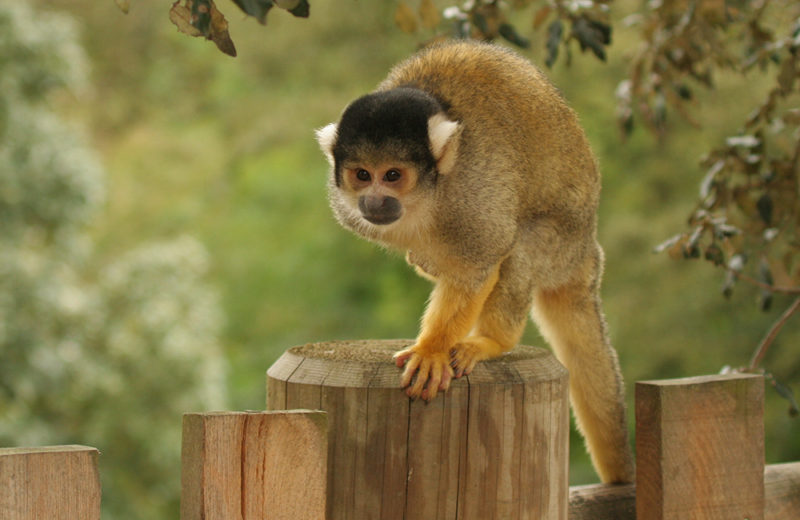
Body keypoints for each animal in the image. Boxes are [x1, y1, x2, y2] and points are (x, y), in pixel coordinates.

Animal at [316, 39, 636, 484]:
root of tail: (588, 250)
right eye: (362, 175)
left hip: (561, 245)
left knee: (520, 246)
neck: (429, 200)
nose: (375, 201)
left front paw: (432, 349)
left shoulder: (474, 193)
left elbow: (479, 262)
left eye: (393, 175)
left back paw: (493, 341)